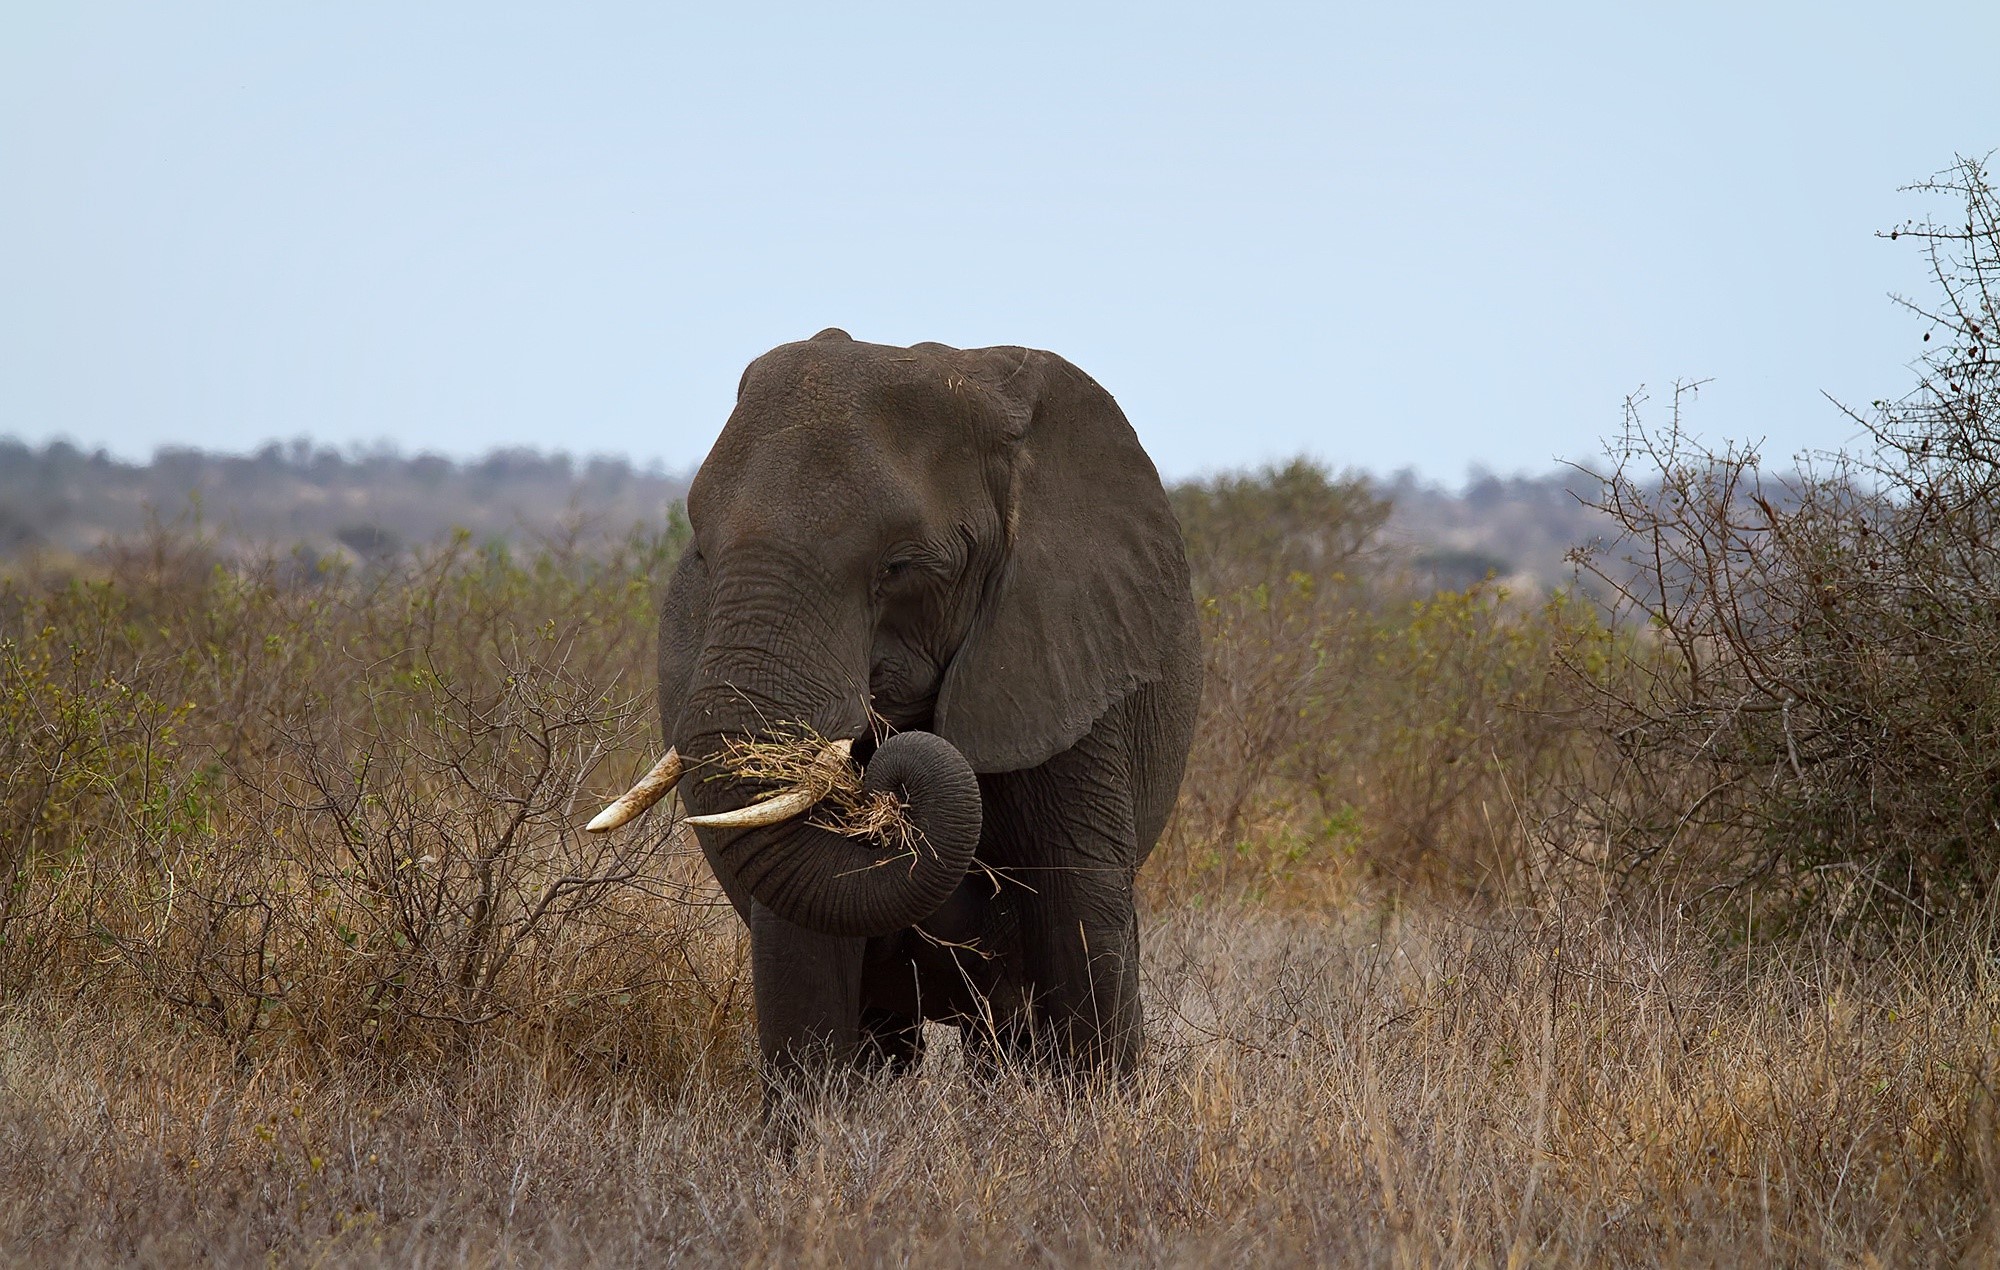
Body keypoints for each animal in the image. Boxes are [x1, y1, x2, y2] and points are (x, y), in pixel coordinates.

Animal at [589, 328, 1201, 1091]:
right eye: (702, 553)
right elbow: (803, 950)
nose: (882, 783)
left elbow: (1084, 918)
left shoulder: (1069, 659)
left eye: (900, 568)